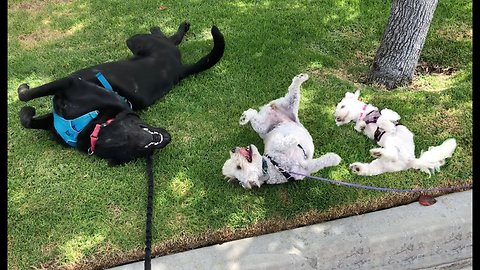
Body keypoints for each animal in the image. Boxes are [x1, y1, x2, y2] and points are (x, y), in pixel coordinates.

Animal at [18, 21, 225, 165]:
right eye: (137, 151)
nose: (162, 139)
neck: (91, 126)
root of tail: (179, 70)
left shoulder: (69, 83)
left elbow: (24, 96)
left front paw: (23, 90)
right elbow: (27, 120)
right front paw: (27, 111)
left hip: (138, 41)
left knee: (165, 37)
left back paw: (167, 27)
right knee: (171, 39)